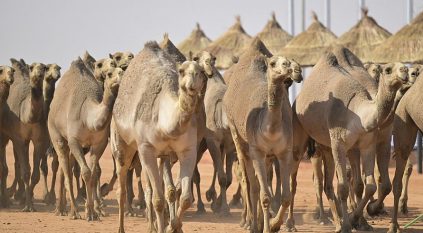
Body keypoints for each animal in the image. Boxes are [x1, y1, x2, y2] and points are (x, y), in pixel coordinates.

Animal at [48, 57, 123, 220]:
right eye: (109, 74)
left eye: (120, 69)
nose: (121, 74)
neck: (89, 119)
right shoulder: (74, 141)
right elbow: (86, 172)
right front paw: (85, 212)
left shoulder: (99, 143)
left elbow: (93, 174)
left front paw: (93, 212)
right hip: (56, 134)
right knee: (66, 169)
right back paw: (71, 211)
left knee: (65, 169)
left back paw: (61, 209)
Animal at [112, 41, 206, 233]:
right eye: (181, 71)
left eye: (201, 71)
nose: (191, 83)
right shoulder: (146, 149)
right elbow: (158, 199)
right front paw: (166, 227)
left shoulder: (188, 150)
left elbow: (185, 198)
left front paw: (173, 227)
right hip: (123, 143)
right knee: (122, 188)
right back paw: (122, 228)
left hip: (162, 155)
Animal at [294, 46, 410, 232]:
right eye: (387, 69)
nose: (406, 71)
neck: (358, 114)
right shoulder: (339, 143)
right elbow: (343, 187)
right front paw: (348, 224)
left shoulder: (369, 143)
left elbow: (371, 185)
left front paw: (358, 218)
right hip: (311, 140)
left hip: (332, 146)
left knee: (334, 184)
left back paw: (343, 220)